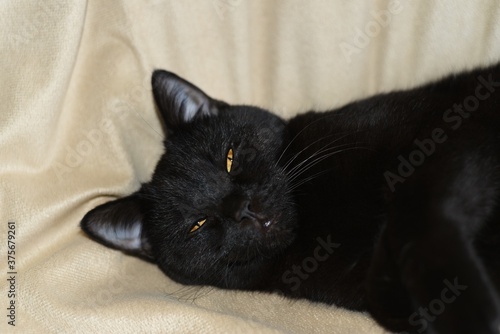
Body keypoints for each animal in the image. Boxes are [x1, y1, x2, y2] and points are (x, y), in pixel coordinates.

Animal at [81, 64, 500, 332]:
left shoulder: (450, 137)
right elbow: (387, 291)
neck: (318, 219)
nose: (242, 208)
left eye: (229, 159)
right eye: (197, 224)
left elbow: (419, 220)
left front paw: (473, 315)